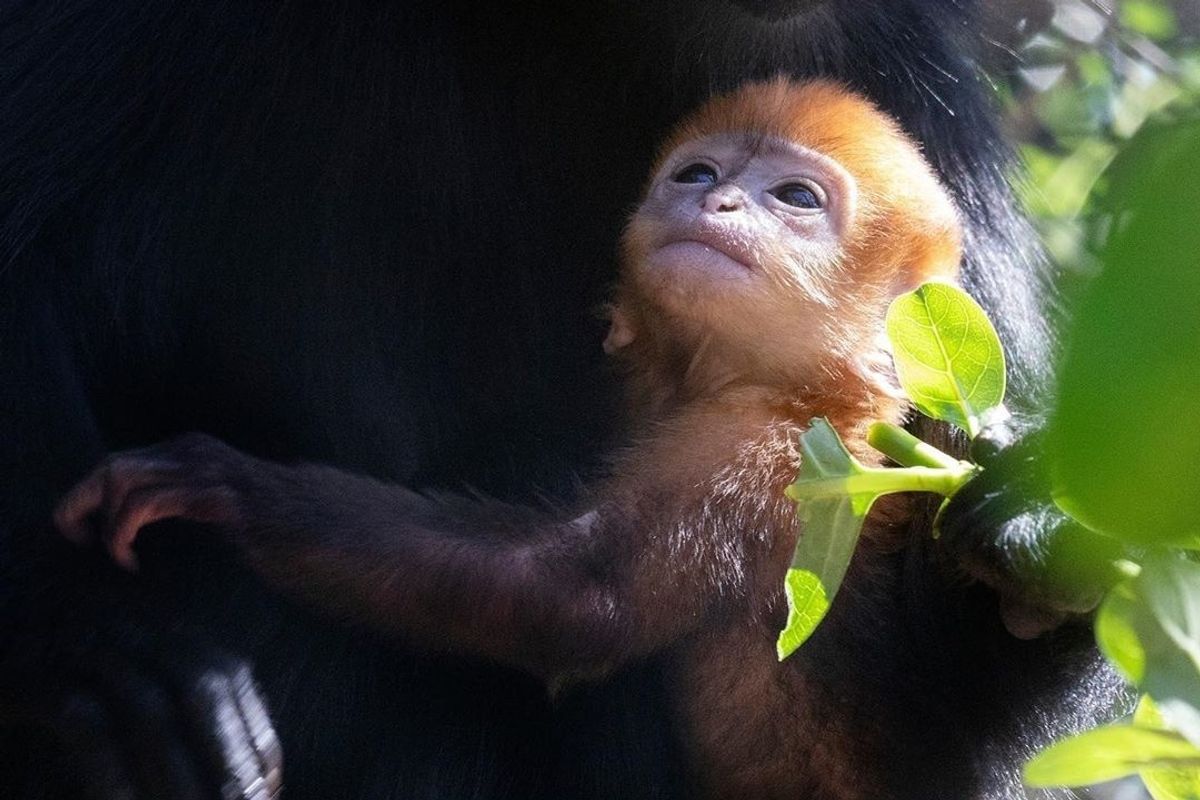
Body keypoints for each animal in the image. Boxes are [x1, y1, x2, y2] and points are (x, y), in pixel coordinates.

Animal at [55, 80, 963, 799]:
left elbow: (572, 597)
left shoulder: (764, 452)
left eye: (797, 198)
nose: (717, 203)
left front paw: (231, 488)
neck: (771, 383)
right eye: (697, 174)